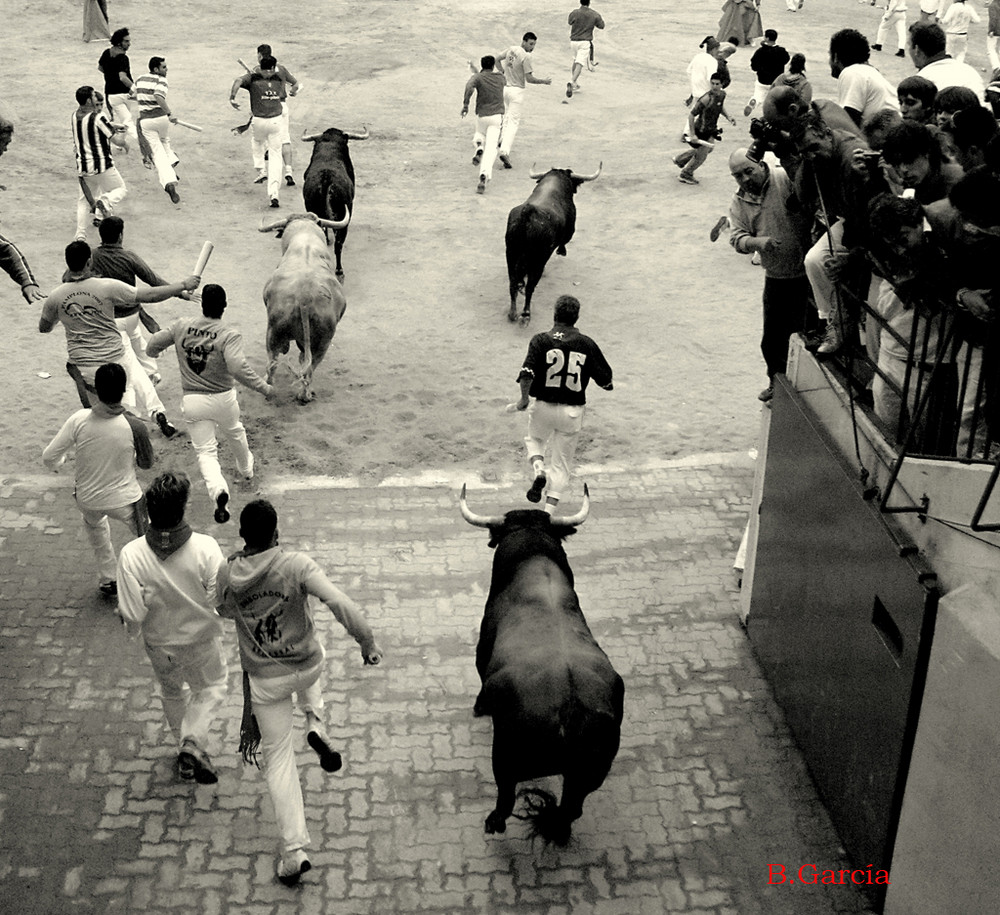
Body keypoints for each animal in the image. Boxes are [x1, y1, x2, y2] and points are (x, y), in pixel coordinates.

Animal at [258, 215, 348, 404]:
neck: (305, 235)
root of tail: (305, 297)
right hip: (322, 342)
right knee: (308, 367)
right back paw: (304, 394)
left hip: (273, 333)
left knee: (274, 363)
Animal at [460, 484, 624, 848]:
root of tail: (571, 710)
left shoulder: (482, 648)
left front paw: (479, 706)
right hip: (589, 775)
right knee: (571, 808)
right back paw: (560, 833)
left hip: (506, 758)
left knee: (506, 797)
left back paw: (494, 822)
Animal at [508, 164, 600, 326]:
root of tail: (528, 214)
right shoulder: (570, 230)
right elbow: (564, 241)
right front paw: (561, 251)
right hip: (537, 261)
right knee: (530, 287)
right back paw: (525, 314)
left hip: (510, 255)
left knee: (512, 283)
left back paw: (512, 313)